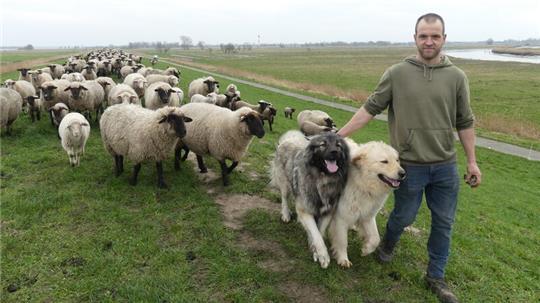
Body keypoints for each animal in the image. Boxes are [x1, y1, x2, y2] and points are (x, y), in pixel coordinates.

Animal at [270, 131, 350, 268]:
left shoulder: (327, 212)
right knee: (284, 199)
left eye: (338, 145)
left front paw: (315, 249)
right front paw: (322, 255)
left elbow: (319, 232)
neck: (323, 179)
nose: (334, 152)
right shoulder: (305, 210)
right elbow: (316, 234)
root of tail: (288, 139)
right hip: (285, 184)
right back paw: (286, 214)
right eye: (323, 144)